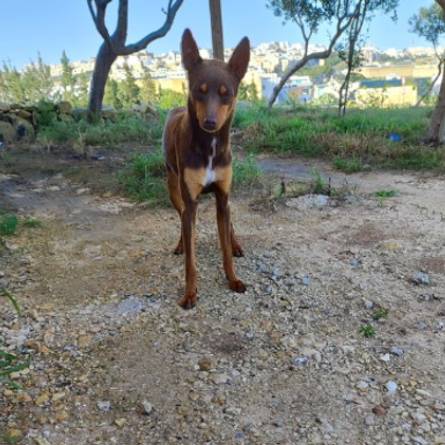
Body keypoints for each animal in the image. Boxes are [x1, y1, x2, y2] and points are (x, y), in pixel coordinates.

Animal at [163, 29, 250, 309]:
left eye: (226, 93)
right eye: (198, 91)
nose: (210, 122)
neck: (209, 146)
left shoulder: (223, 197)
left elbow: (225, 248)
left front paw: (233, 278)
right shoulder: (191, 201)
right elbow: (190, 260)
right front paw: (190, 293)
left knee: (228, 223)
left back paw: (235, 244)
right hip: (173, 188)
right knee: (181, 217)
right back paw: (182, 242)